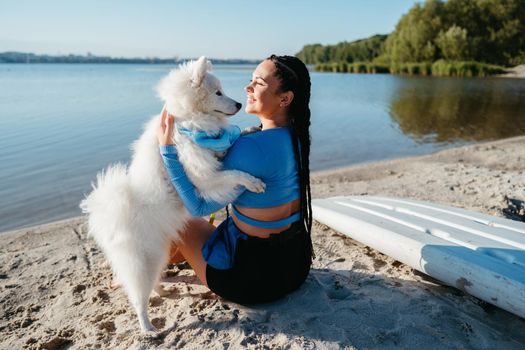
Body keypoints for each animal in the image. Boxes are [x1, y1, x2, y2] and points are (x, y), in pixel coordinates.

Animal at [79, 56, 264, 330]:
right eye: (218, 93)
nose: (241, 103)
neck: (187, 121)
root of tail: (111, 214)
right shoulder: (203, 177)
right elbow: (232, 174)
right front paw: (252, 181)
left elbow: (229, 145)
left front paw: (249, 129)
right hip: (143, 261)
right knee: (138, 297)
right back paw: (148, 328)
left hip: (158, 253)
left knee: (151, 284)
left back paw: (162, 293)